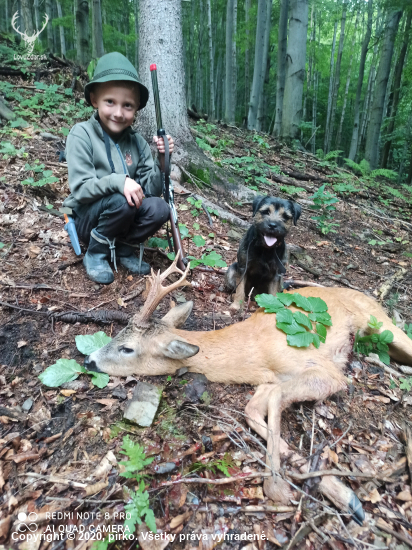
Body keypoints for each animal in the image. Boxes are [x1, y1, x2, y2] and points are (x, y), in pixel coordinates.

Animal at [85, 256, 412, 528]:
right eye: (118, 333)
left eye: (127, 348)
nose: (89, 360)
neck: (255, 355)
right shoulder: (268, 381)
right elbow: (253, 410)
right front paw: (340, 492)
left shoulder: (326, 371)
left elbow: (276, 401)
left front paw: (279, 487)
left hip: (381, 325)